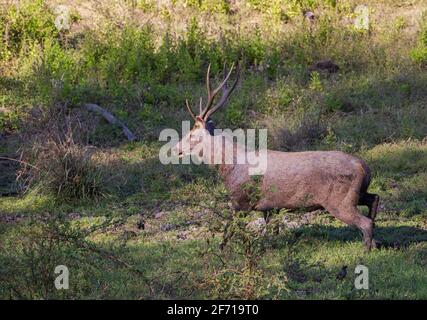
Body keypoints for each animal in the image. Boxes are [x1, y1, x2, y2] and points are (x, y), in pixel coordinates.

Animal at [172, 63, 380, 251]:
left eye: (191, 133)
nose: (175, 149)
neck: (228, 167)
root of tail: (364, 167)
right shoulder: (269, 207)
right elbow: (271, 230)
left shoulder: (241, 200)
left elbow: (229, 229)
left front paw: (222, 249)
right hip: (356, 193)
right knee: (374, 199)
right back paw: (376, 243)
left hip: (340, 200)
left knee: (365, 222)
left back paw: (366, 251)